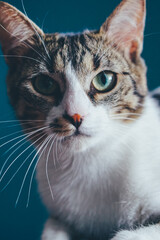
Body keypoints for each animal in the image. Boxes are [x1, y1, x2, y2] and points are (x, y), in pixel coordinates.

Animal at [0, 0, 160, 239]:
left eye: (104, 79)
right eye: (44, 84)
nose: (75, 115)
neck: (89, 161)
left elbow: (127, 234)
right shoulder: (57, 215)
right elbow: (52, 231)